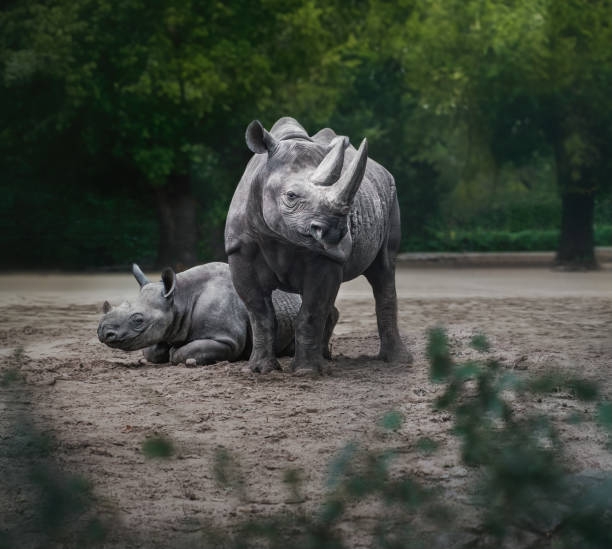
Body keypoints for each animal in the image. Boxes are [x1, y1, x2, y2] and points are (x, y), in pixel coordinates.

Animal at [98, 262, 308, 364]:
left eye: (138, 320)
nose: (103, 333)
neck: (180, 298)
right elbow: (151, 351)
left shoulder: (226, 339)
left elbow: (181, 353)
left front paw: (178, 353)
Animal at [225, 115, 412, 372]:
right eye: (291, 196)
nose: (335, 231)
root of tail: (383, 170)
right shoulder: (240, 250)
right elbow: (260, 313)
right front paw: (261, 369)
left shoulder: (327, 257)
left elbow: (311, 311)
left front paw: (307, 371)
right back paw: (325, 357)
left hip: (391, 194)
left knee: (383, 269)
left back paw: (396, 360)